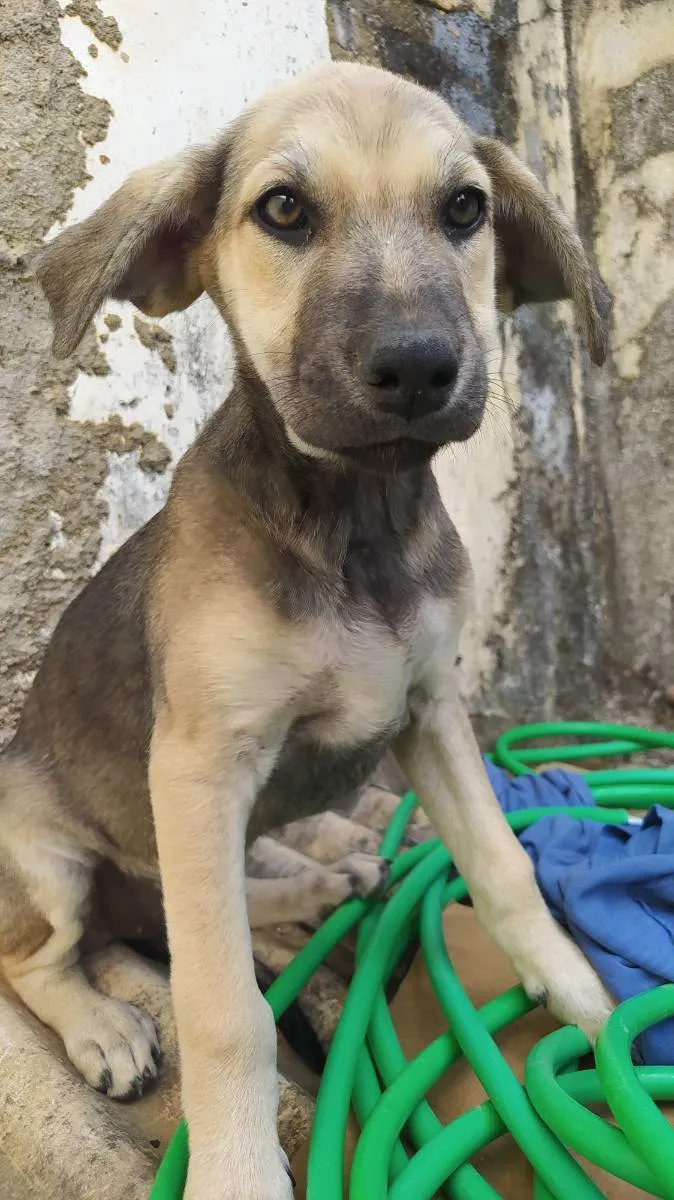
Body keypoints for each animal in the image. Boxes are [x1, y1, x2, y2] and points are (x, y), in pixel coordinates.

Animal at [0, 65, 609, 1200]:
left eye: (465, 208)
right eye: (283, 209)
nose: (417, 367)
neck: (352, 524)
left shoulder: (430, 709)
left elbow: (504, 868)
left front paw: (590, 1007)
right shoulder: (198, 768)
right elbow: (222, 1007)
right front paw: (238, 1170)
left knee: (206, 897)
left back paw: (330, 880)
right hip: (47, 857)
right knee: (45, 956)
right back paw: (107, 1025)